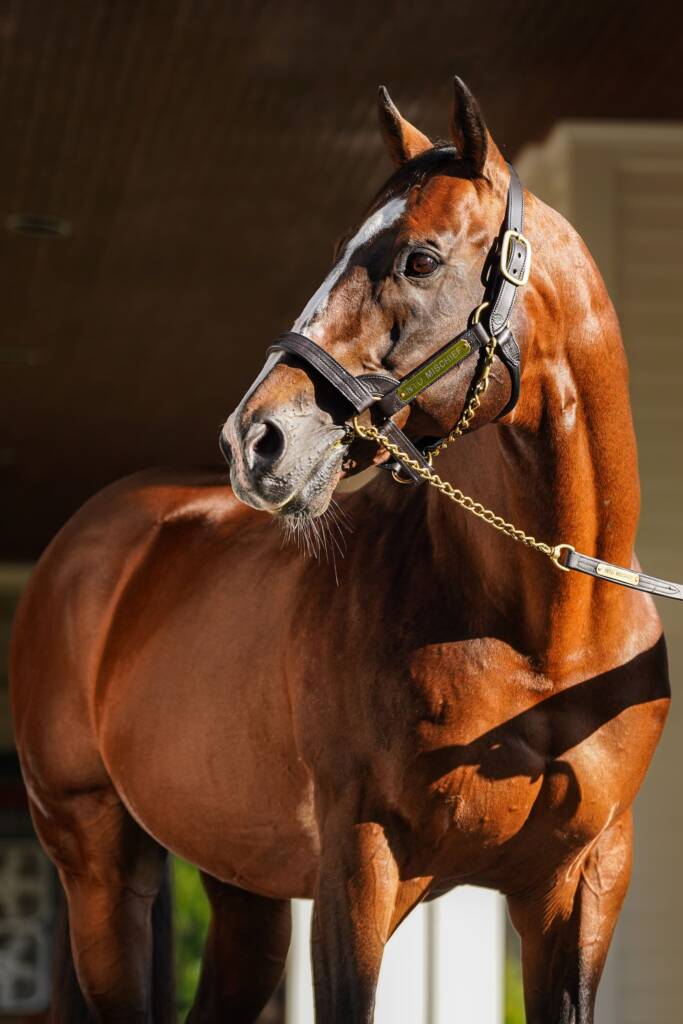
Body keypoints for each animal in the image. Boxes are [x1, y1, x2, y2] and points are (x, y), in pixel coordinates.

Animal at [10, 79, 671, 1024]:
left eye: (419, 260)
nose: (256, 441)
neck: (551, 633)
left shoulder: (580, 887)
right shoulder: (359, 870)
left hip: (240, 884)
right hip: (99, 862)